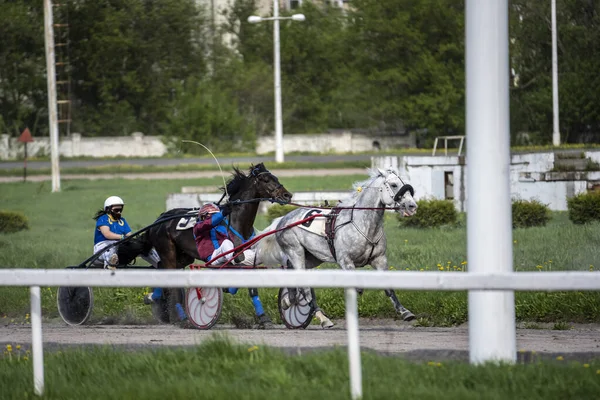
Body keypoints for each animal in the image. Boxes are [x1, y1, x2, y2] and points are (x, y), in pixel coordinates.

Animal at [118, 163, 292, 328]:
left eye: (275, 177)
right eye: (266, 180)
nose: (287, 195)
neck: (236, 221)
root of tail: (159, 220)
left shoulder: (245, 259)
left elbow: (251, 286)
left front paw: (264, 319)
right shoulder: (230, 258)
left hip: (184, 256)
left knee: (162, 268)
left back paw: (153, 297)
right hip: (168, 251)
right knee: (171, 280)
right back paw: (182, 318)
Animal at [256, 167, 418, 326]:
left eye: (405, 183)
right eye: (394, 185)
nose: (412, 206)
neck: (363, 224)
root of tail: (282, 219)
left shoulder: (379, 259)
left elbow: (388, 286)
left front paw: (405, 312)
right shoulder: (346, 261)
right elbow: (356, 287)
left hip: (313, 257)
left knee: (292, 272)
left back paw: (289, 300)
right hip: (296, 252)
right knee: (304, 287)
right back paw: (321, 317)